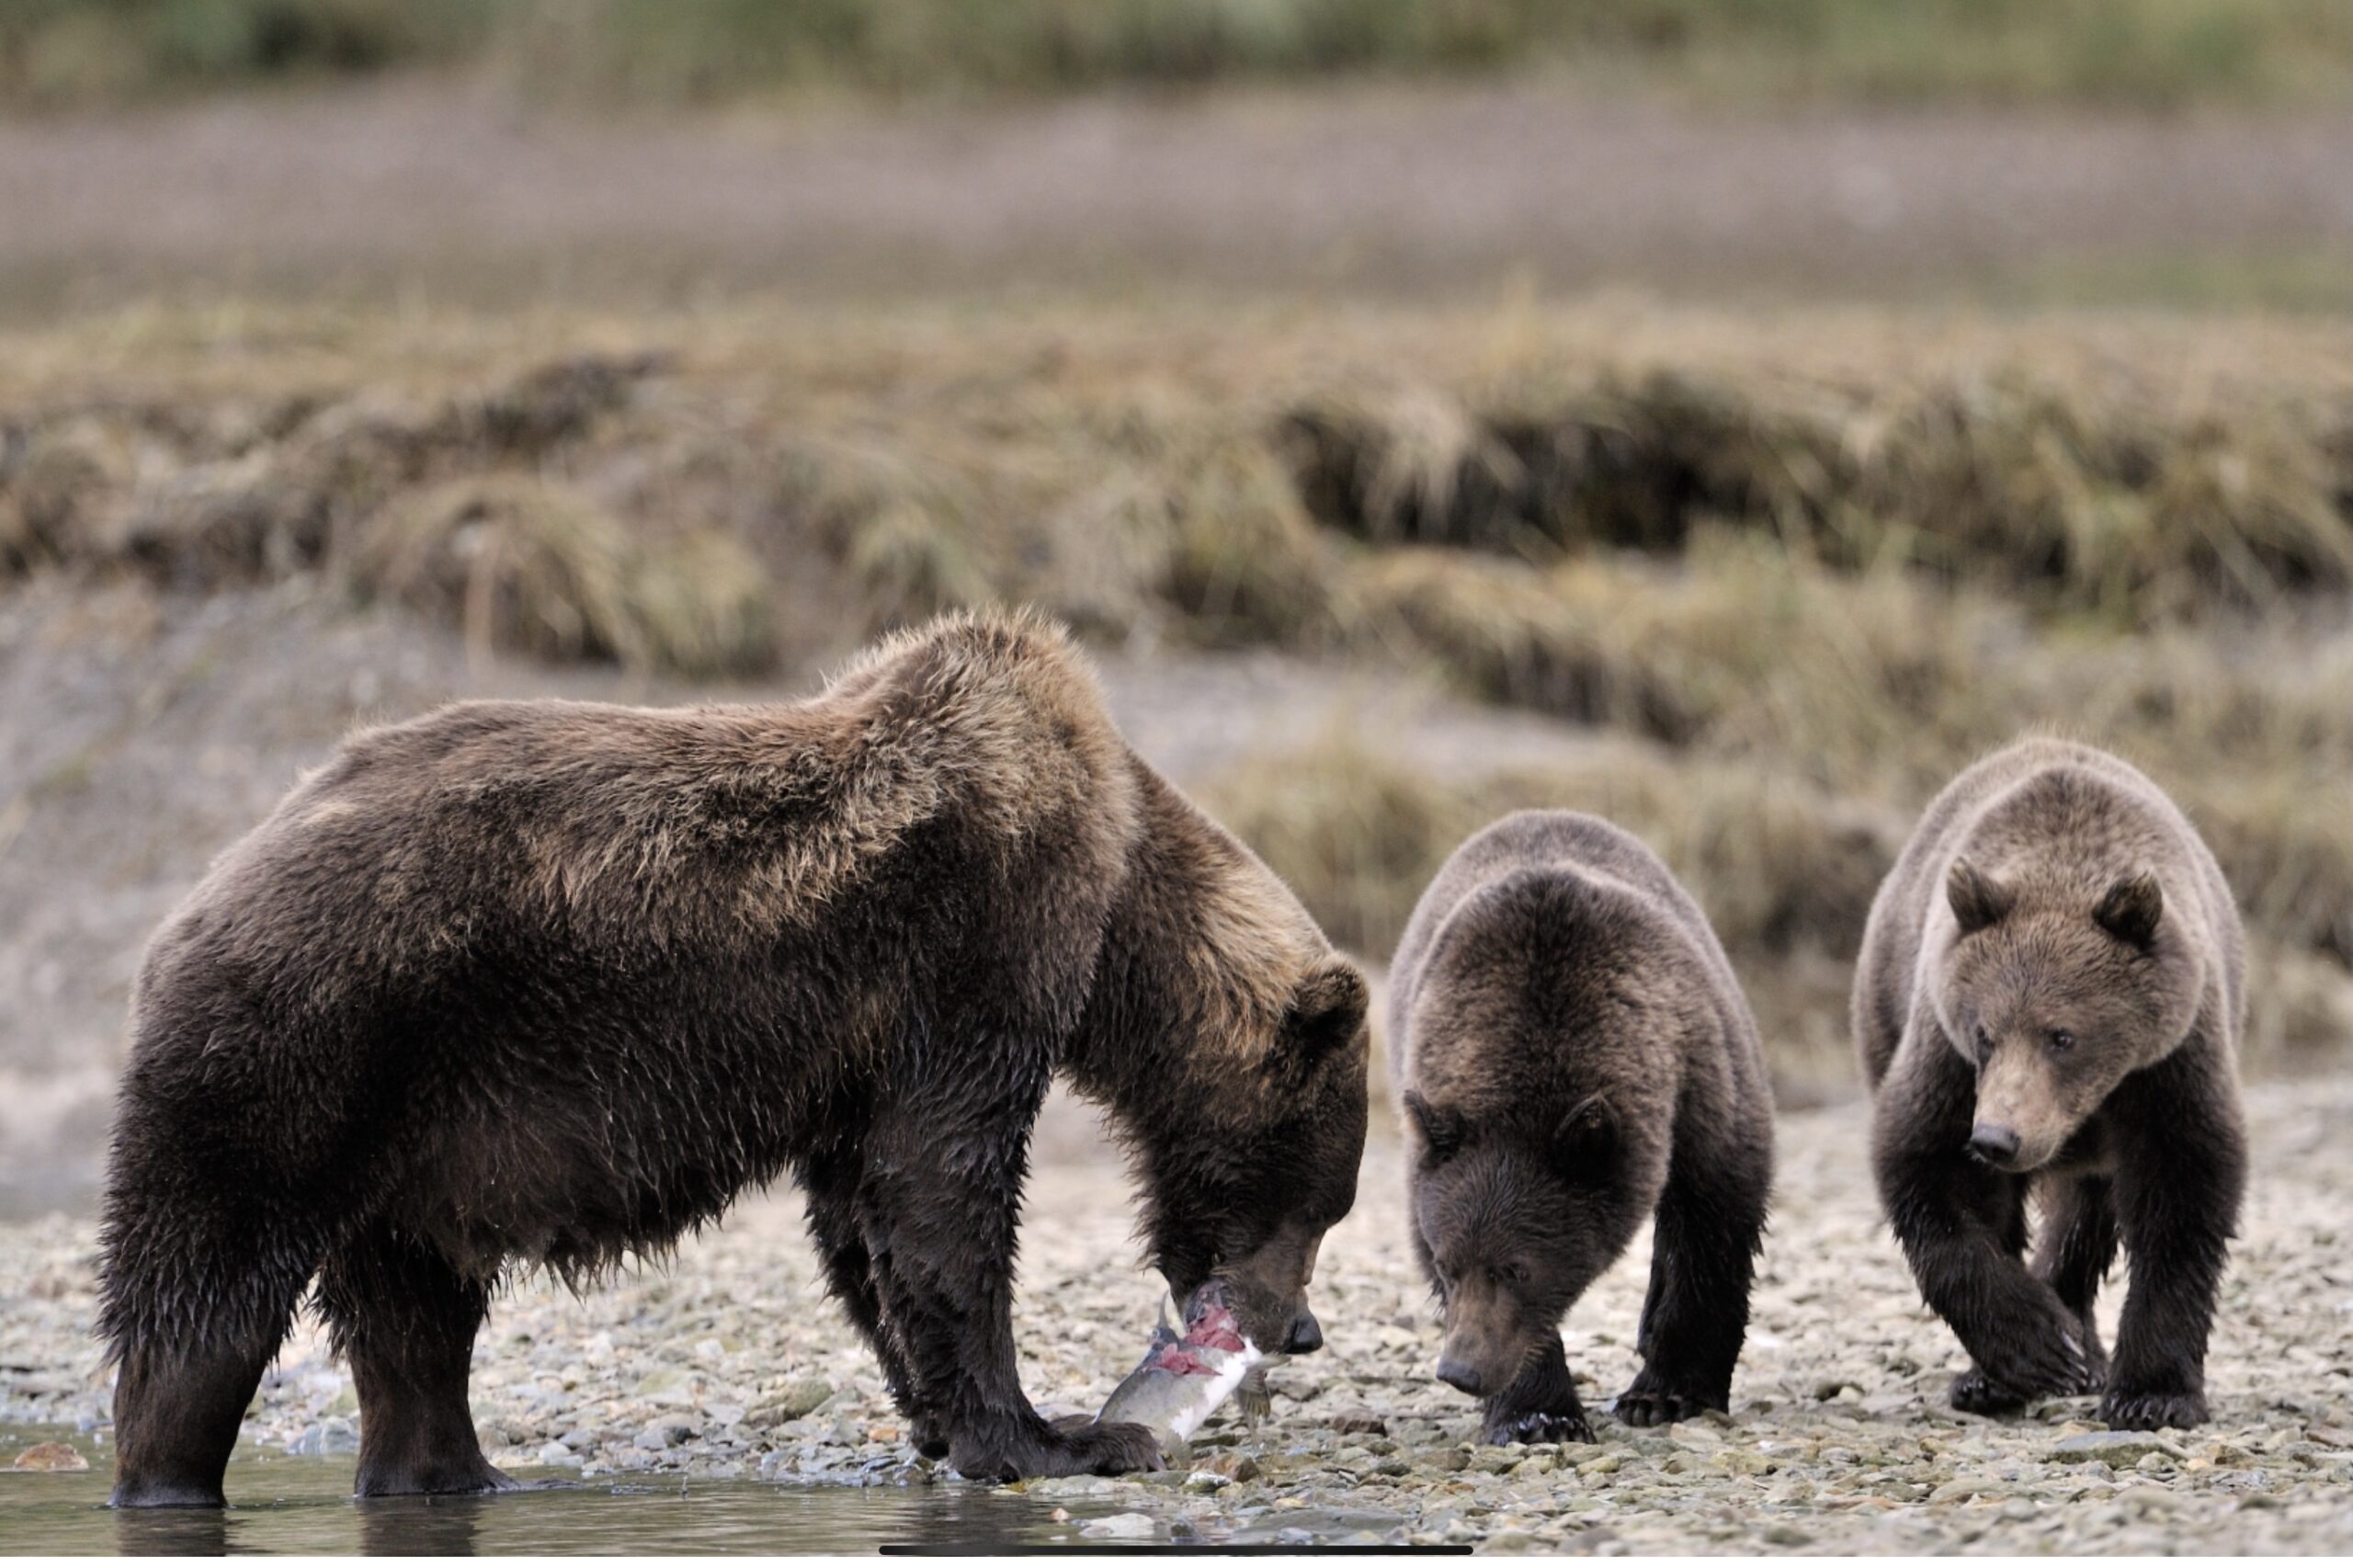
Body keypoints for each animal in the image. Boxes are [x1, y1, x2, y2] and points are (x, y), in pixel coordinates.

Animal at [101, 607, 1374, 1506]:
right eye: (1327, 1199)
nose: (1299, 1329)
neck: (1115, 910)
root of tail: (200, 895)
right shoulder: (976, 944)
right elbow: (947, 1185)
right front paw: (1060, 1432)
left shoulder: (861, 1050)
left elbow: (866, 1219)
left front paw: (938, 1411)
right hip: (297, 1048)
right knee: (206, 1293)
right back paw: (168, 1476)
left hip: (410, 1140)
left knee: (413, 1318)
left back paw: (453, 1472)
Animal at [1383, 810, 1769, 1431]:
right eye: (1446, 1265)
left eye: (1517, 1268)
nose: (1460, 1371)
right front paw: (1538, 1414)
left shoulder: (1700, 1072)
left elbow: (1713, 1221)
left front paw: (1662, 1394)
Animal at [1854, 734, 2240, 1431]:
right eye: (1986, 1032)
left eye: (2062, 1035)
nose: (1998, 1138)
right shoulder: (1948, 1060)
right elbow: (1932, 1174)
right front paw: (2037, 1349)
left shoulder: (2171, 1066)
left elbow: (2182, 1196)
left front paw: (2152, 1392)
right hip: (1883, 1007)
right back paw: (2004, 1373)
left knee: (2085, 1215)